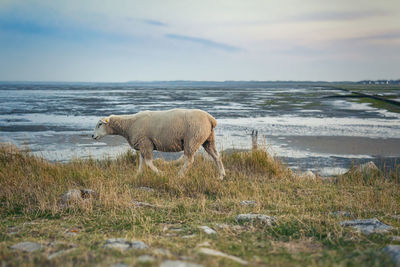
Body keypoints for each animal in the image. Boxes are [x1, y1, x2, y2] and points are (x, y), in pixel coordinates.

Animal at [92, 108, 227, 180]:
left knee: (189, 160)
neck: (129, 125)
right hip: (208, 139)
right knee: (216, 156)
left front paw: (161, 174)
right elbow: (141, 163)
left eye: (100, 124)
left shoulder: (146, 143)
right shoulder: (142, 145)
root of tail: (210, 119)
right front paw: (137, 176)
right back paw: (221, 175)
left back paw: (179, 175)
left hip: (192, 139)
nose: (92, 136)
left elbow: (148, 163)